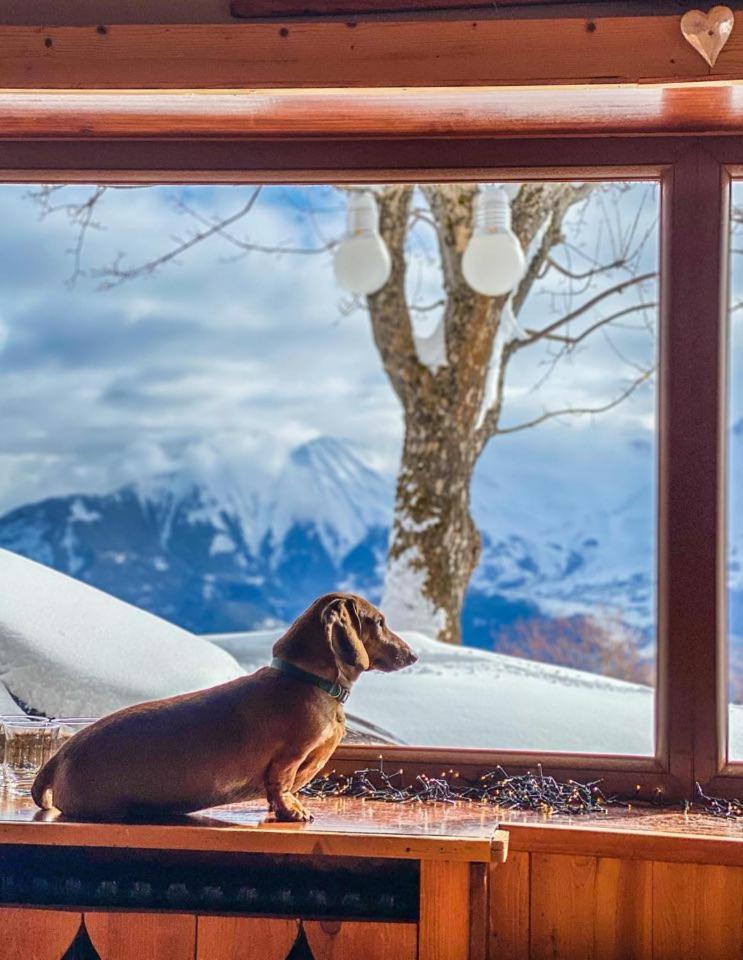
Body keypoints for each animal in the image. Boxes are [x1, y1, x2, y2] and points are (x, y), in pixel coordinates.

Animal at [32, 592, 418, 824]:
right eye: (379, 621)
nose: (413, 655)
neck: (307, 681)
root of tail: (58, 756)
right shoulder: (288, 757)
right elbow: (282, 786)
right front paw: (293, 811)